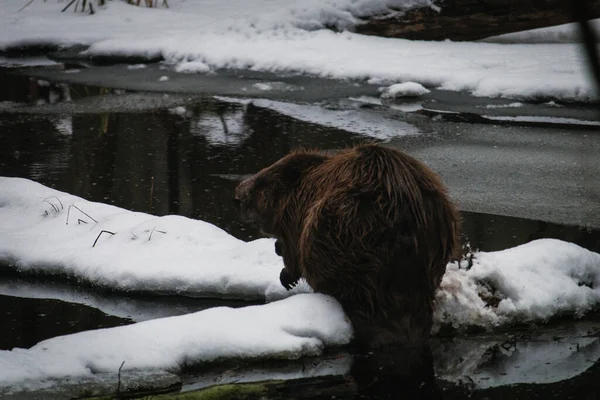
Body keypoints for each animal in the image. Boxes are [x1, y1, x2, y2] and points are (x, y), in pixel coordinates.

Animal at [234, 143, 460, 346]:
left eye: (262, 182)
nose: (237, 196)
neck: (308, 183)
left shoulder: (296, 219)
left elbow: (293, 253)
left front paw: (286, 276)